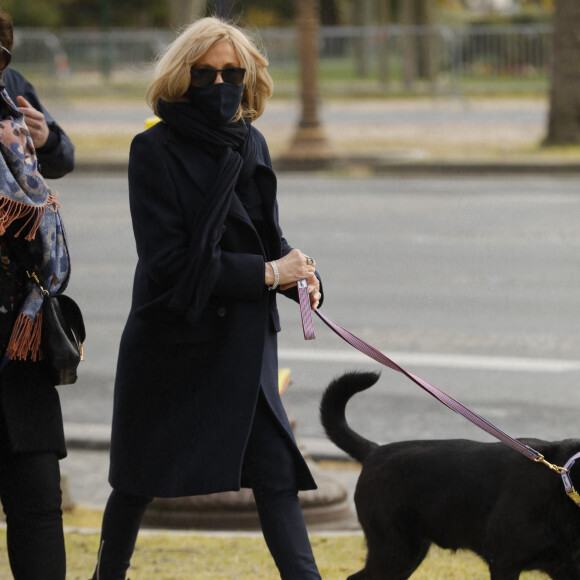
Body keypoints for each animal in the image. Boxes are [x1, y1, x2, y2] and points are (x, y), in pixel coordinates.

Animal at [322, 372, 580, 580]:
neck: (563, 482)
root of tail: (373, 451)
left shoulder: (567, 568)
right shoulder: (504, 563)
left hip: (410, 552)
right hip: (394, 551)